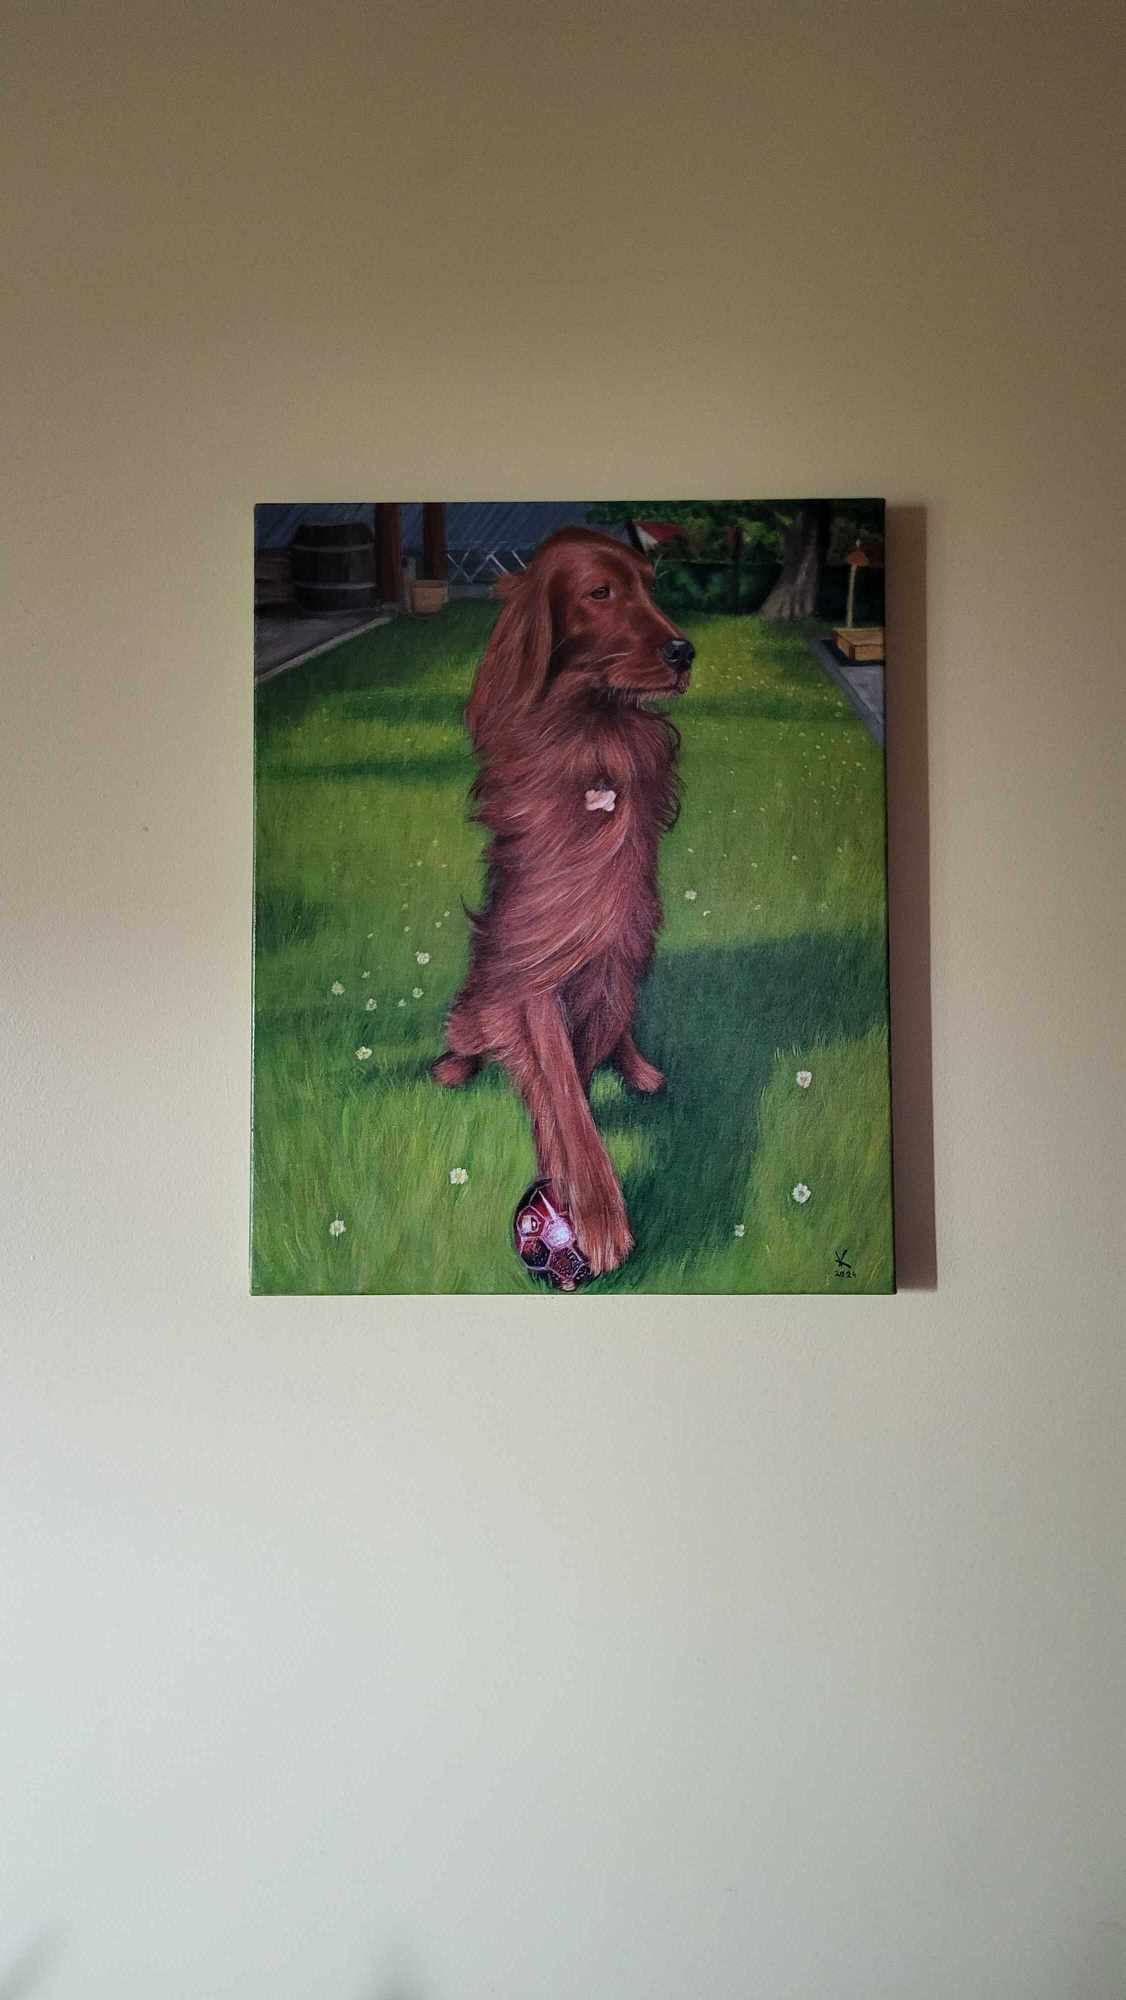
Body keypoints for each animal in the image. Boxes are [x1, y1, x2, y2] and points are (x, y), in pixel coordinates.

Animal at [431, 527, 694, 1275]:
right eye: (599, 592)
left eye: (650, 586)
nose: (684, 650)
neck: (593, 743)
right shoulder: (533, 960)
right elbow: (564, 1089)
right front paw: (597, 1211)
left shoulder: (612, 950)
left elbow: (579, 1065)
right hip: (482, 987)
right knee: (469, 1026)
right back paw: (453, 1064)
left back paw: (639, 1070)